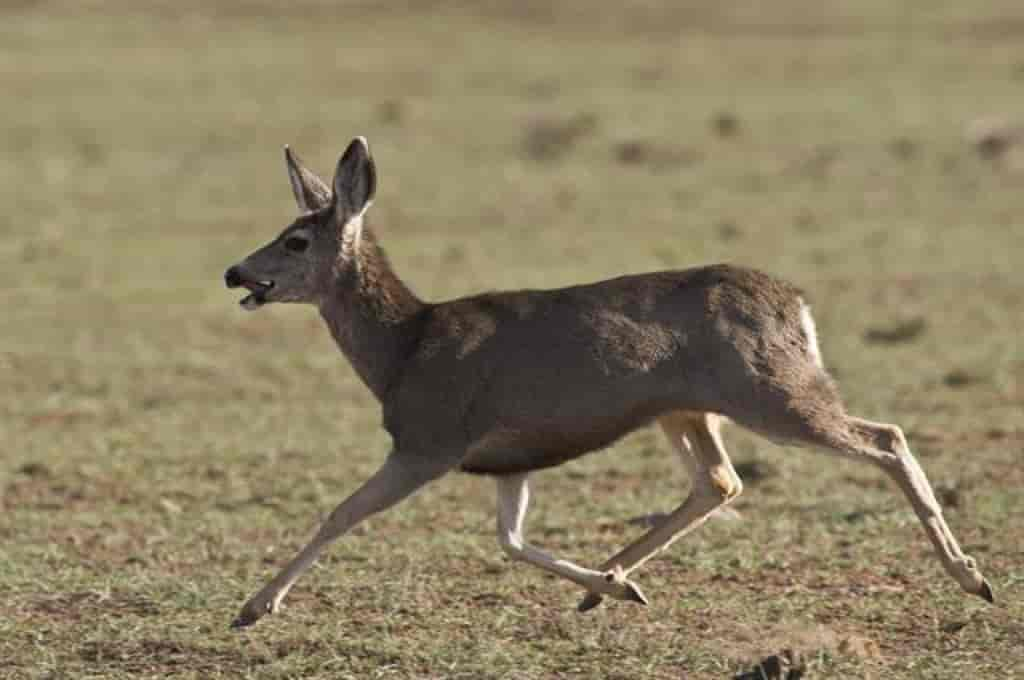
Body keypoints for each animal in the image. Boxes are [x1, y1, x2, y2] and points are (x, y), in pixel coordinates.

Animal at [222, 137, 991, 626]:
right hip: (688, 408)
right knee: (719, 481)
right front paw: (613, 588)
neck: (403, 350)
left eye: (296, 240)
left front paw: (254, 608)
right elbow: (510, 541)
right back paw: (613, 581)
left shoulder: (430, 439)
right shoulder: (507, 457)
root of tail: (796, 305)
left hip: (771, 388)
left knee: (884, 437)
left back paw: (972, 577)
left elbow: (341, 513)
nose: (235, 272)